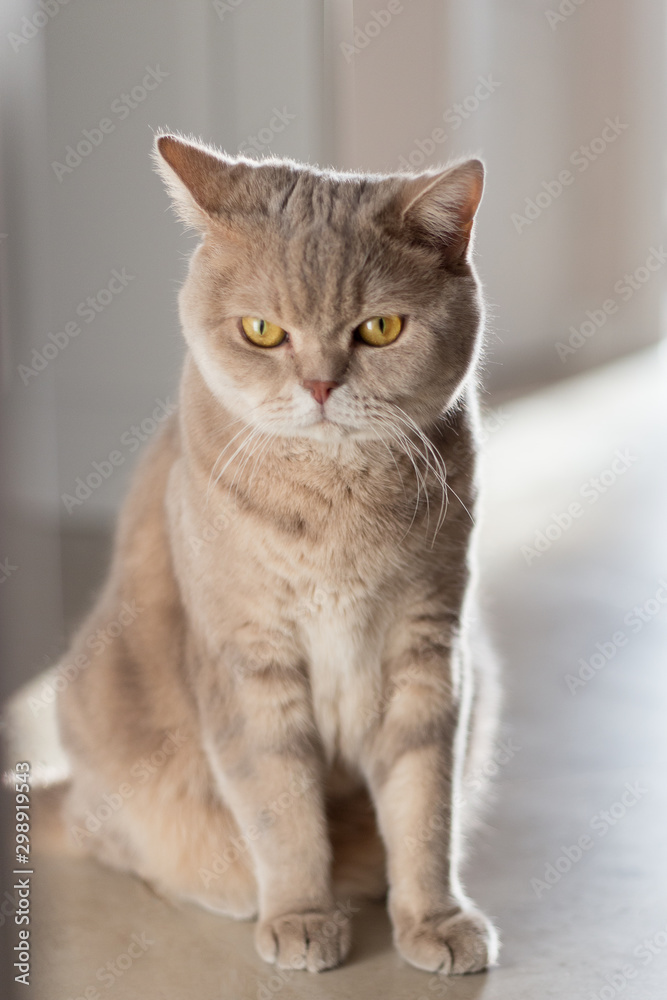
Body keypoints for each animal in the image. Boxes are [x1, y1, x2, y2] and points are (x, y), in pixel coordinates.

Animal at [54, 131, 498, 968]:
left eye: (379, 329)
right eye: (262, 331)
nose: (321, 385)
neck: (336, 504)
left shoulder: (429, 654)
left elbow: (425, 809)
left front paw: (431, 918)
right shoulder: (249, 662)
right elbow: (281, 810)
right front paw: (299, 913)